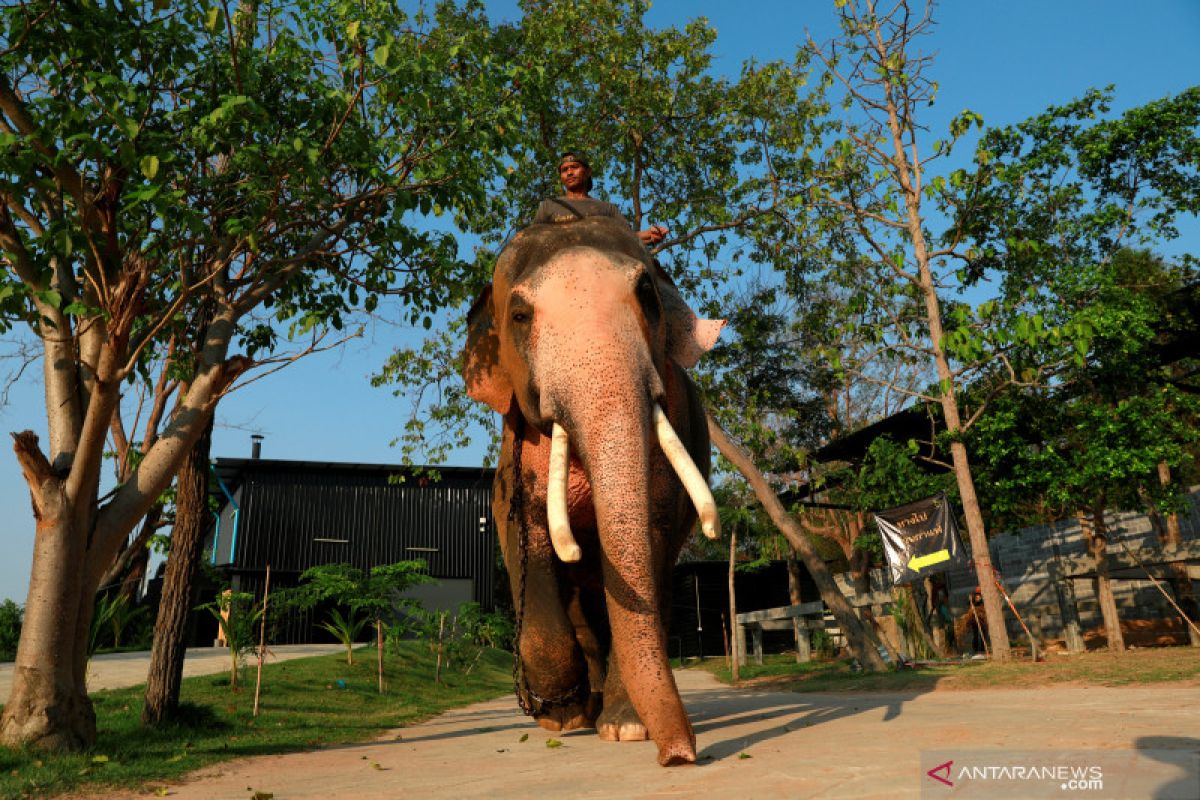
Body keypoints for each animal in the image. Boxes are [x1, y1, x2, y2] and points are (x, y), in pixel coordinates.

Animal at [460, 215, 720, 767]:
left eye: (647, 294)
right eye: (519, 315)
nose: (679, 757)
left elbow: (652, 535)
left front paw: (625, 728)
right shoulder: (514, 455)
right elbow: (524, 532)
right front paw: (560, 713)